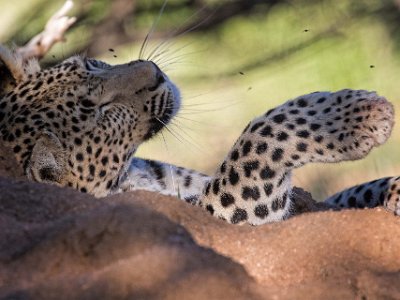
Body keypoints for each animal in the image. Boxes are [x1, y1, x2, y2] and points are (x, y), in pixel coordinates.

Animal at [0, 43, 398, 224]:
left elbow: (354, 191)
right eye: (100, 111)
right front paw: (358, 116)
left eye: (91, 63)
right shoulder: (221, 215)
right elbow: (260, 136)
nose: (155, 72)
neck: (133, 173)